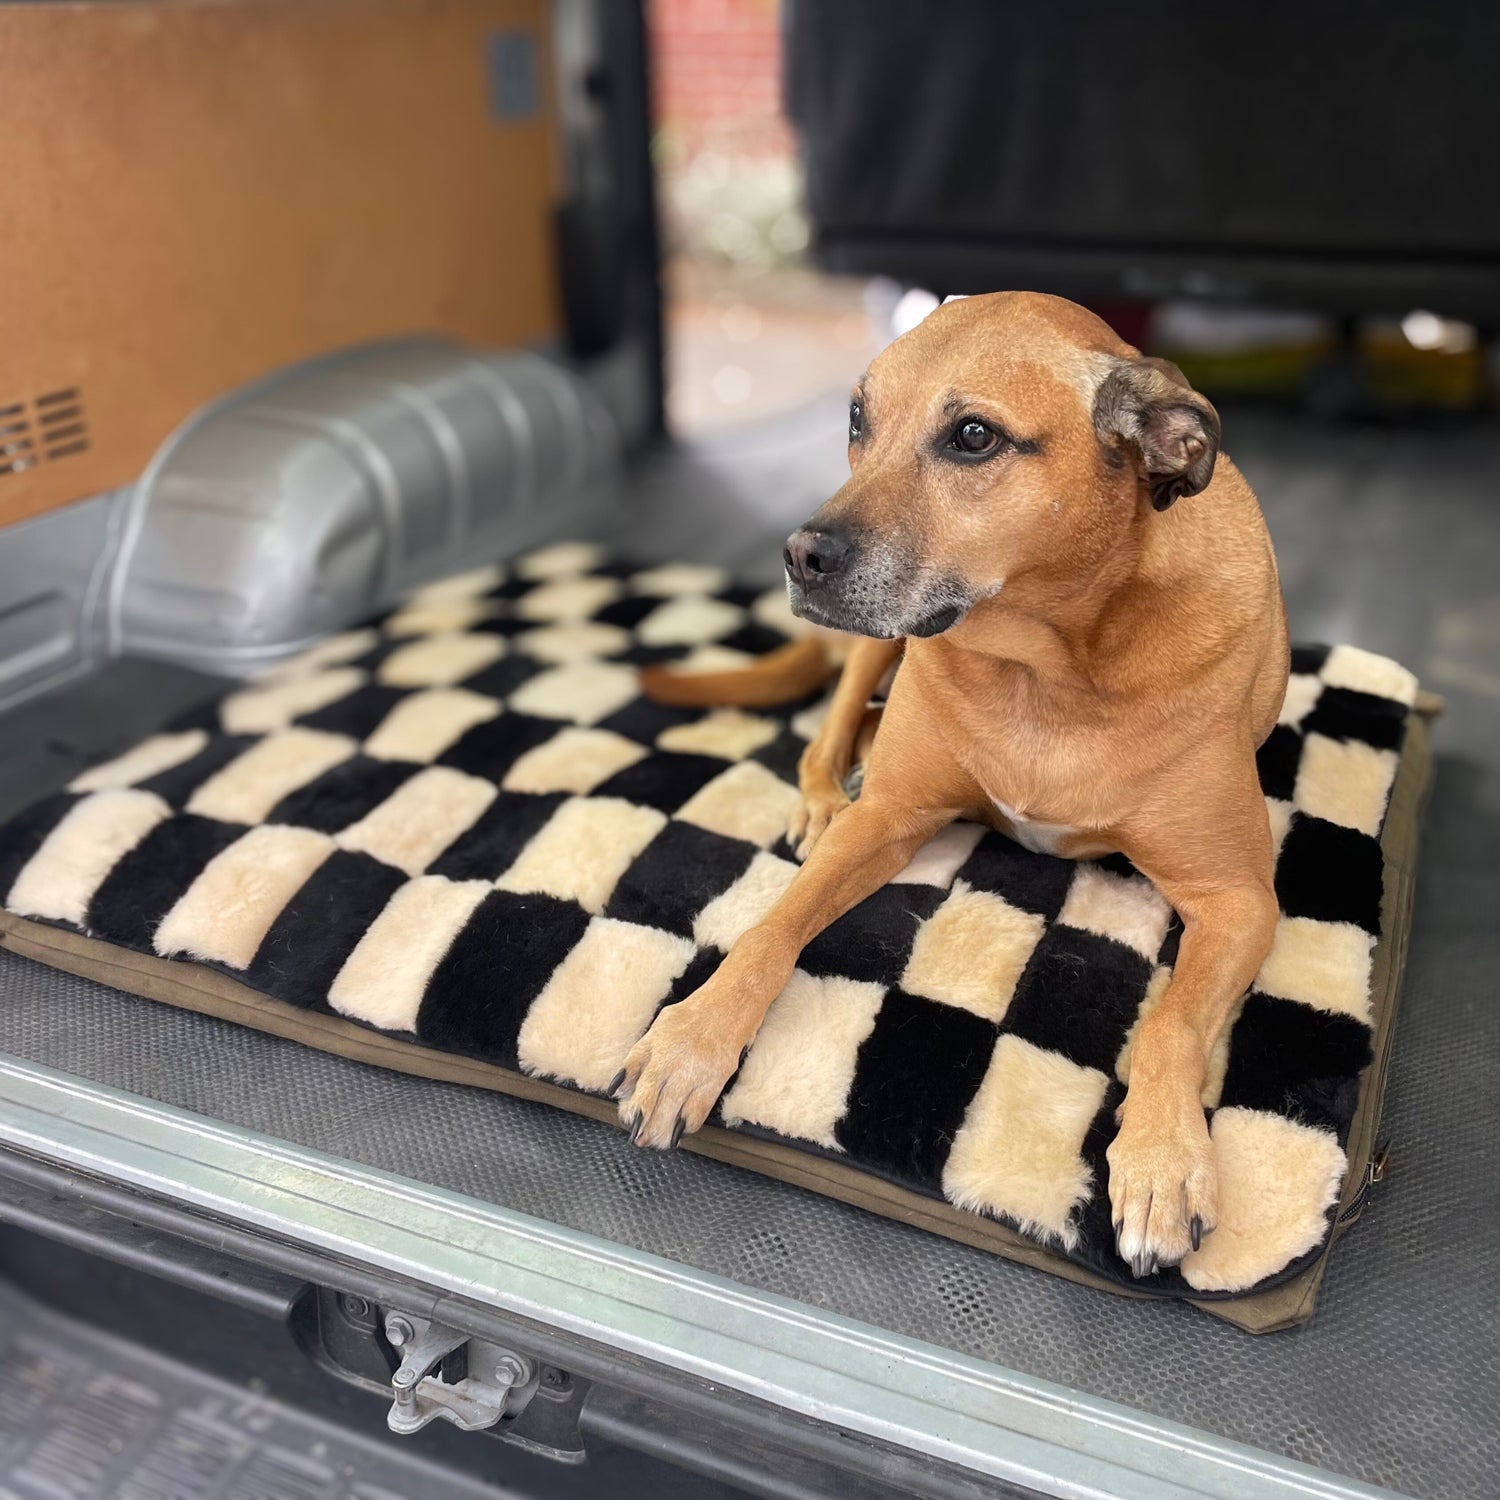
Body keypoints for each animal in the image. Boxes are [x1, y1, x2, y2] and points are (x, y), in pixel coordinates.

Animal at [615, 292, 1284, 1278]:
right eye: (858, 419)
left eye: (973, 436)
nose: (798, 554)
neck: (1047, 665)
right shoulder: (891, 815)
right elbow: (773, 925)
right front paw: (691, 1040)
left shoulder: (1238, 899)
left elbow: (1171, 1022)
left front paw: (1164, 1158)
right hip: (869, 648)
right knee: (828, 735)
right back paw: (823, 795)